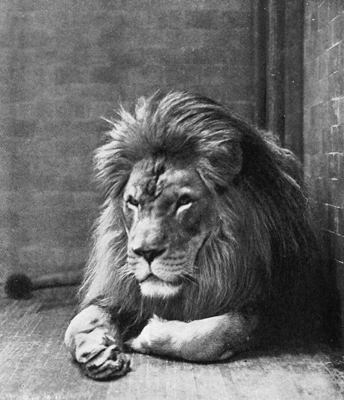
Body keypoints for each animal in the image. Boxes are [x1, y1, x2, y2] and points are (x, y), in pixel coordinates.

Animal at [63, 91, 320, 382]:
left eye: (184, 202)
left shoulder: (275, 308)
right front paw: (99, 353)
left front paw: (145, 335)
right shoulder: (119, 296)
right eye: (133, 202)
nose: (145, 252)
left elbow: (213, 333)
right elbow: (78, 323)